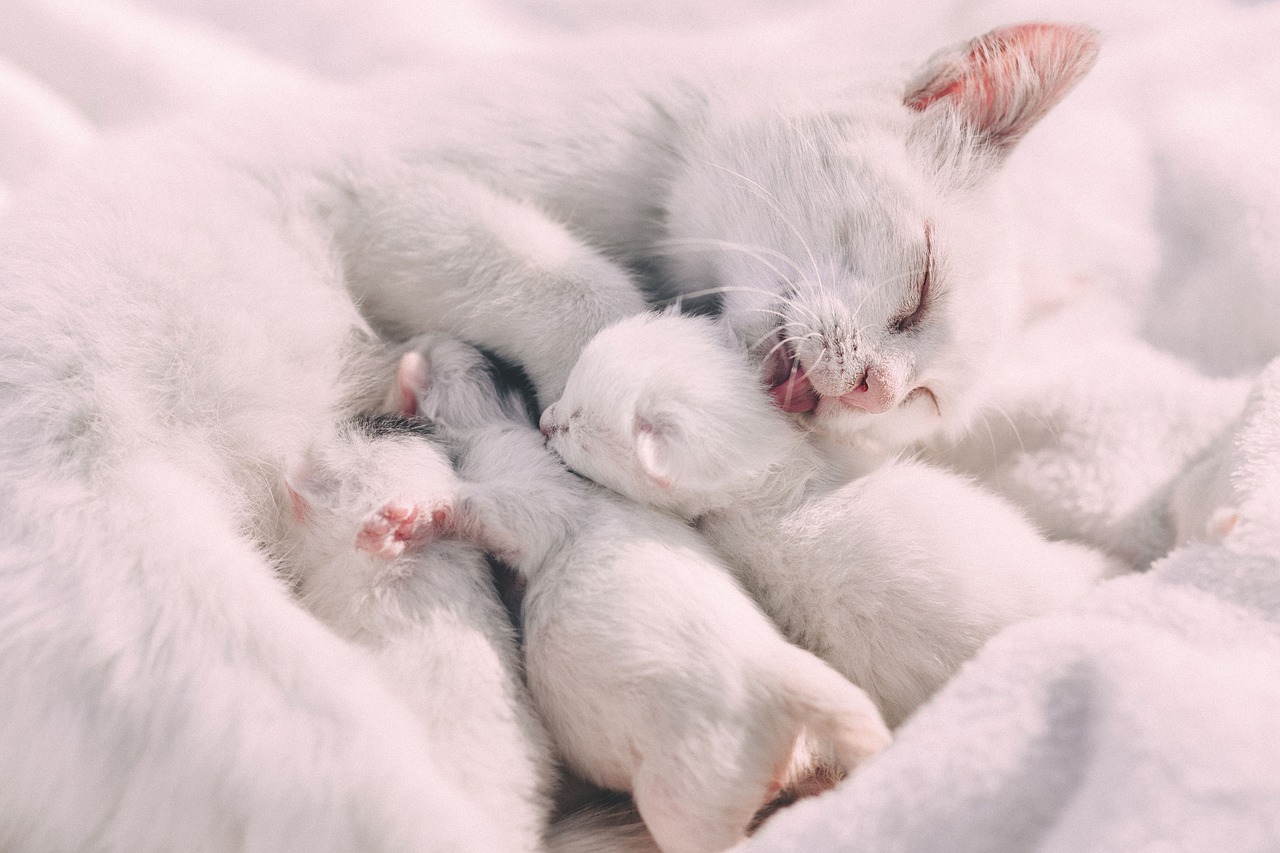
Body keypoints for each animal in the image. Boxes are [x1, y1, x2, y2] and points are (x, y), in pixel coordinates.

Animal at [396, 333, 890, 850]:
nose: (420, 340)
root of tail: (782, 681)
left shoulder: (520, 478)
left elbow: (495, 510)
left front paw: (420, 515)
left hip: (687, 799)